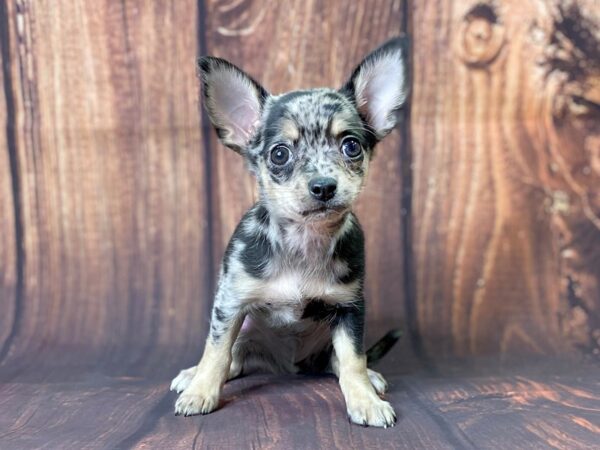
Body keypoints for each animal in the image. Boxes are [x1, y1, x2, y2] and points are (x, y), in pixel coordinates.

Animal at [171, 37, 410, 428]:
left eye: (351, 146)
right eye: (280, 154)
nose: (324, 186)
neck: (304, 241)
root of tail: (285, 365)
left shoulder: (349, 309)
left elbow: (353, 359)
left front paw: (365, 400)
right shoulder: (230, 303)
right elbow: (216, 351)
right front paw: (201, 391)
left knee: (339, 361)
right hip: (244, 336)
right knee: (231, 358)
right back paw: (193, 376)